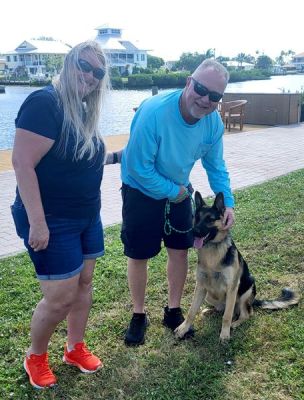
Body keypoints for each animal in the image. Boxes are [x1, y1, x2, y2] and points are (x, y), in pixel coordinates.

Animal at [175, 192, 298, 342]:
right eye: (196, 218)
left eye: (210, 219)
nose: (194, 231)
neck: (213, 252)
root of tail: (253, 301)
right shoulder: (200, 286)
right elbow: (192, 311)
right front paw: (183, 328)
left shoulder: (232, 288)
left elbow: (226, 317)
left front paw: (224, 334)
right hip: (208, 295)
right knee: (223, 309)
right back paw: (210, 311)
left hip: (246, 291)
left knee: (244, 314)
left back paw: (235, 323)